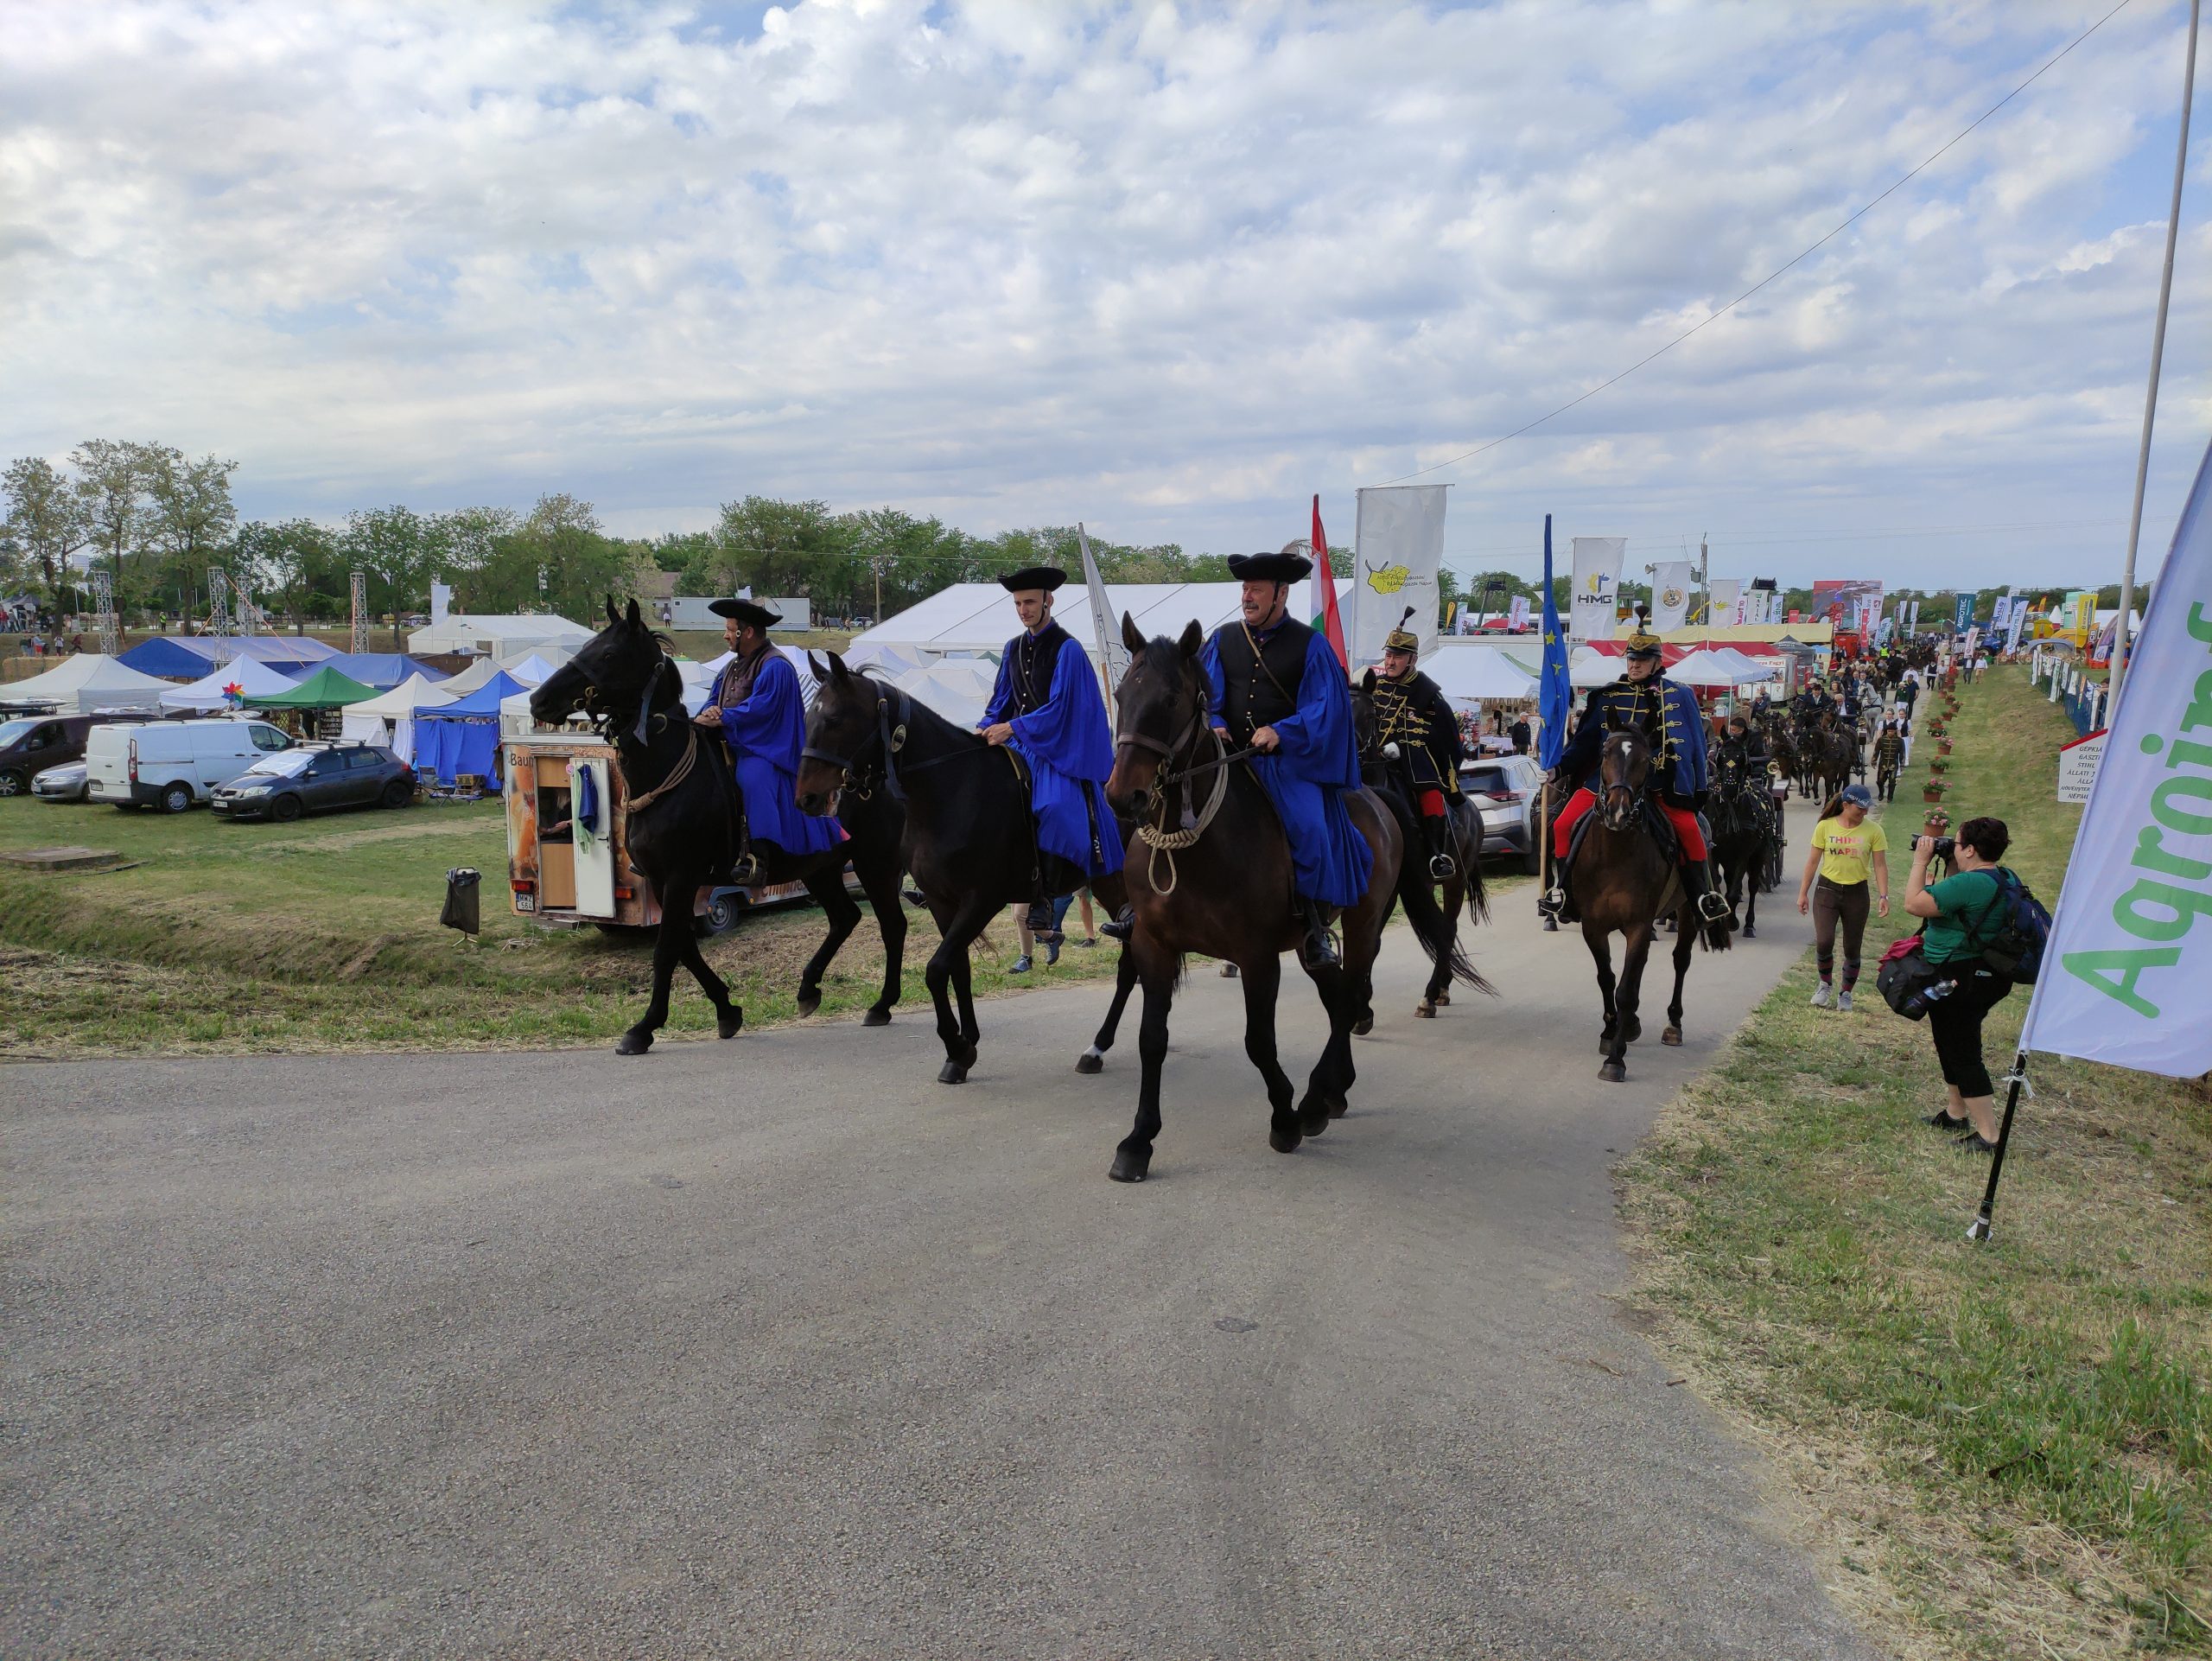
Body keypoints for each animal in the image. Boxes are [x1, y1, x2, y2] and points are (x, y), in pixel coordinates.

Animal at [531, 606, 911, 1057]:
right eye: (589, 644)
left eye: (607, 653)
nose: (539, 700)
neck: (668, 776)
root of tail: (877, 770)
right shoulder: (663, 881)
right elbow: (684, 946)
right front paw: (727, 1011)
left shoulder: (681, 878)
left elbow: (666, 949)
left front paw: (644, 1027)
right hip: (821, 869)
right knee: (845, 917)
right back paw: (808, 989)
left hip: (875, 865)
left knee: (892, 924)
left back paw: (883, 1003)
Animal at [796, 650, 1132, 1092]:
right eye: (808, 717)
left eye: (834, 719)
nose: (807, 798)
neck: (951, 791)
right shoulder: (944, 902)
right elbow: (958, 970)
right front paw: (964, 1046)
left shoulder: (981, 900)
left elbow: (937, 970)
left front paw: (957, 1047)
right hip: (1111, 885)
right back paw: (1100, 1047)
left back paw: (1101, 1047)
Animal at [1566, 734, 1734, 1084]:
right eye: (1605, 753)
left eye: (1646, 760)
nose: (1617, 812)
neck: (1614, 853)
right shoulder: (1594, 927)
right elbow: (1607, 978)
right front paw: (1610, 1032)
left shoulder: (1639, 925)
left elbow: (1625, 990)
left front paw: (1615, 1060)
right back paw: (1629, 1025)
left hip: (1686, 912)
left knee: (1680, 961)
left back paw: (1674, 1025)